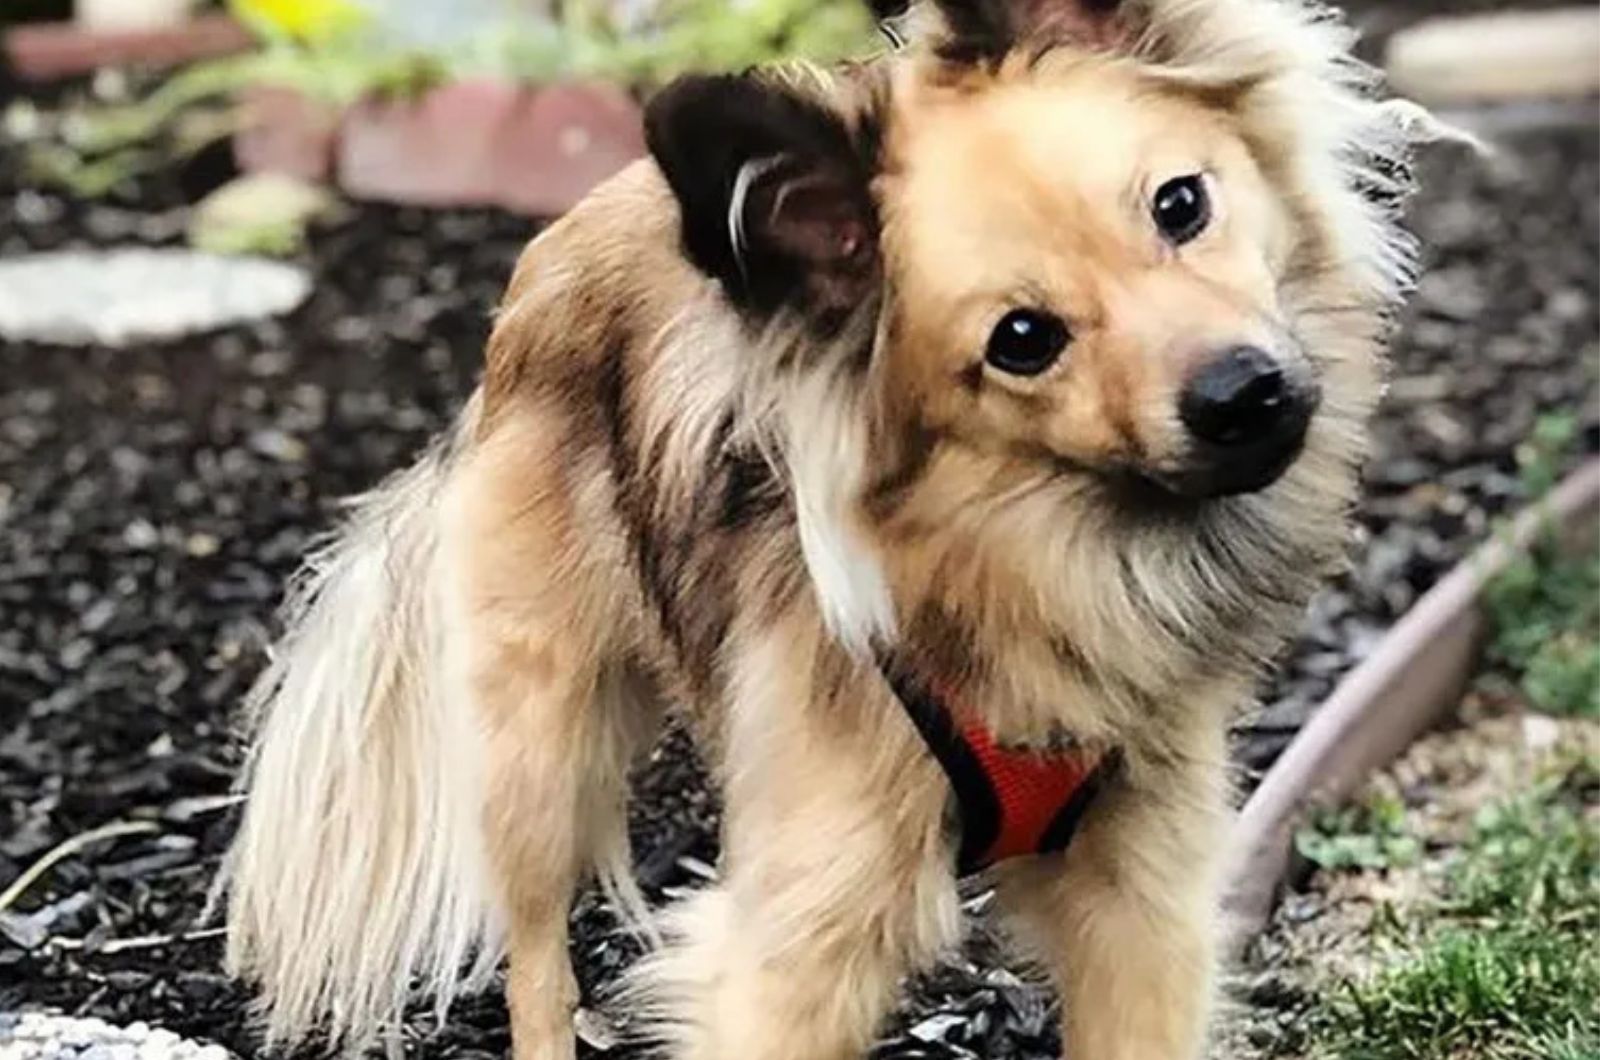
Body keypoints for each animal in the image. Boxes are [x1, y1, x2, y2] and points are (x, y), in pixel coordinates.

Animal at [216, 4, 1440, 1056]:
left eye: (1180, 205)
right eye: (1022, 341)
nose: (1243, 394)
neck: (1029, 568)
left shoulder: (1140, 894)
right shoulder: (796, 948)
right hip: (536, 744)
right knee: (535, 962)